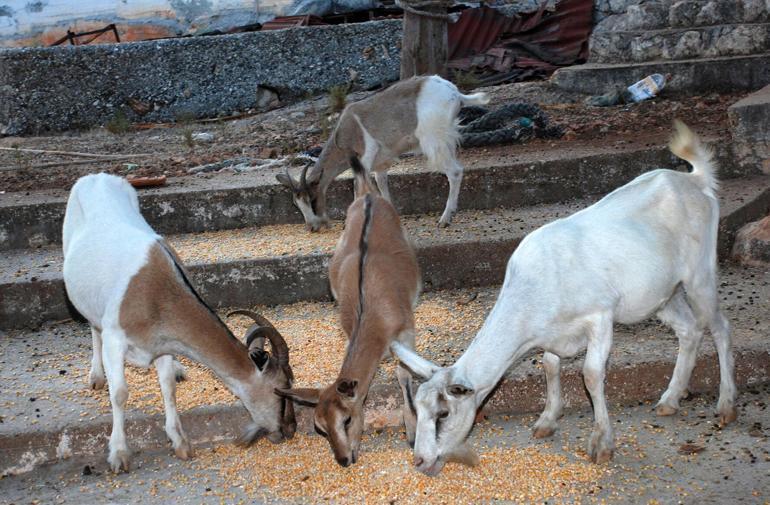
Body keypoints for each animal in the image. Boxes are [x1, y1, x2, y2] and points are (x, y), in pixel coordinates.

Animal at [62, 174, 294, 472]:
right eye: (281, 390)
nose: (289, 430)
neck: (156, 292)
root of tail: (97, 177)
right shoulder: (116, 338)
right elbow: (120, 393)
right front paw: (119, 454)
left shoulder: (163, 342)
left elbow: (168, 387)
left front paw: (181, 443)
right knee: (94, 328)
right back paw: (96, 376)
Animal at [276, 156, 420, 466]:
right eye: (320, 427)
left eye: (347, 420)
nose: (343, 459)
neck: (372, 315)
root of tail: (367, 194)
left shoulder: (406, 332)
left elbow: (404, 375)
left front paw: (413, 434)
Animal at [278, 74, 486, 230]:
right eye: (296, 204)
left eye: (312, 199)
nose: (312, 227)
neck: (346, 130)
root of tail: (455, 93)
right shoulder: (381, 164)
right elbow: (381, 184)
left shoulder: (366, 156)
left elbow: (358, 186)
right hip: (446, 140)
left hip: (433, 142)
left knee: (455, 171)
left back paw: (445, 219)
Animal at [392, 121, 736, 472]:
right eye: (417, 409)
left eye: (443, 413)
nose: (420, 460)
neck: (533, 291)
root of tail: (695, 180)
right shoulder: (552, 334)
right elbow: (549, 366)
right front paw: (547, 421)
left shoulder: (600, 315)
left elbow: (592, 375)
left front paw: (602, 443)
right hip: (663, 294)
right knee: (689, 330)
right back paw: (670, 399)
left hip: (700, 272)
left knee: (719, 326)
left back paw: (725, 405)